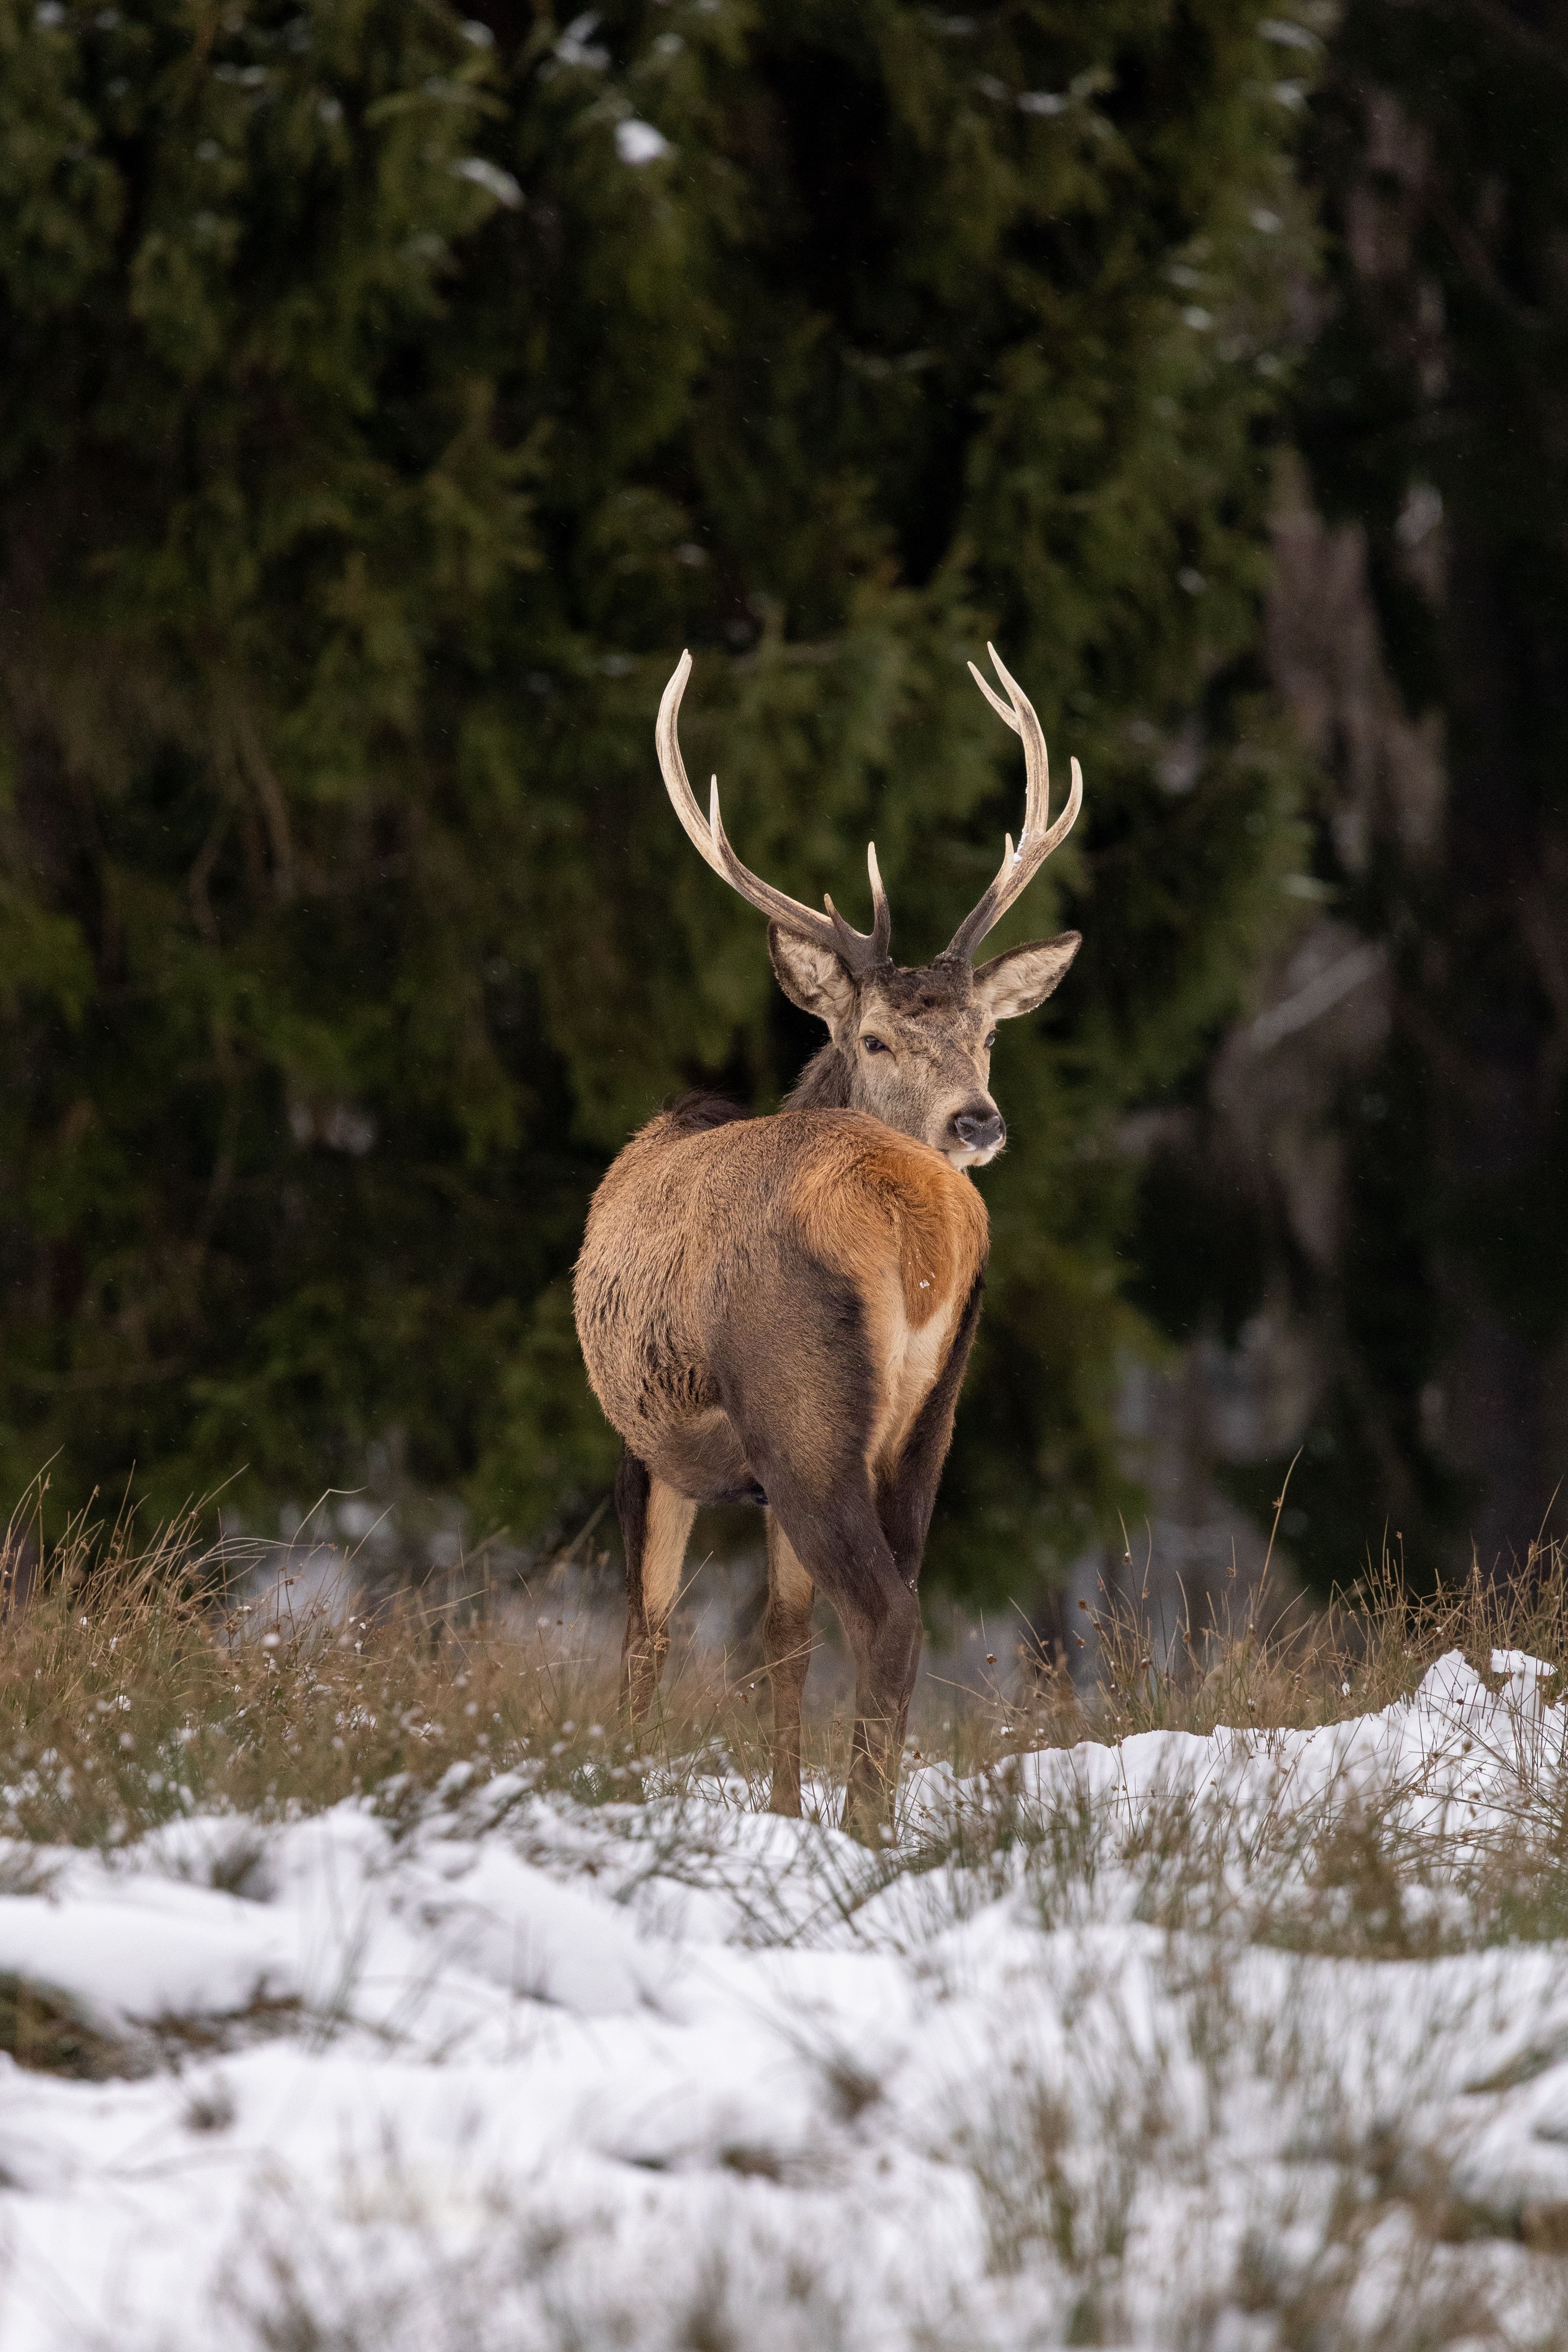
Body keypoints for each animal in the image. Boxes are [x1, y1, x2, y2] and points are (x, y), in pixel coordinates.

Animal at [573, 646, 1083, 1839]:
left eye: (987, 1034)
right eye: (879, 1037)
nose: (978, 1120)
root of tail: (919, 1226)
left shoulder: (643, 1436)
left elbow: (648, 1627)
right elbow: (780, 1636)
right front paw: (778, 1804)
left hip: (799, 1402)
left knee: (886, 1615)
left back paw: (864, 1830)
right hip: (927, 1420)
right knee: (883, 1602)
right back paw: (869, 1815)